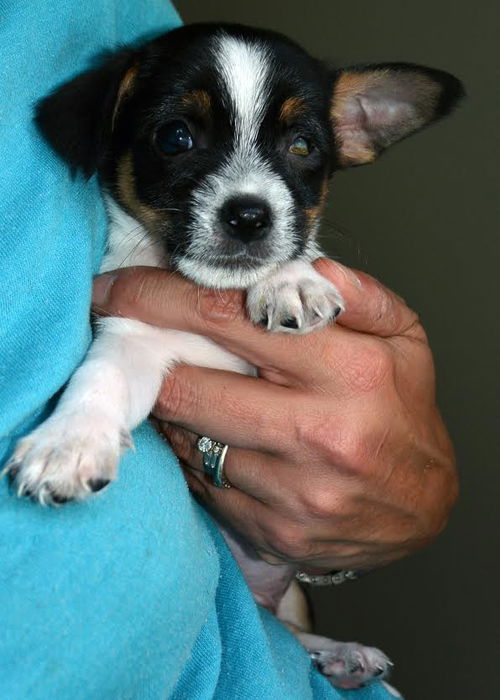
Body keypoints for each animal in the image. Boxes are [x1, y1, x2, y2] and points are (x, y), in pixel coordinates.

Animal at [5, 23, 462, 696]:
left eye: (302, 145)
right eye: (176, 137)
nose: (249, 215)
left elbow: (305, 255)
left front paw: (287, 278)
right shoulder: (130, 335)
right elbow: (99, 380)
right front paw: (68, 442)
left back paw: (342, 653)